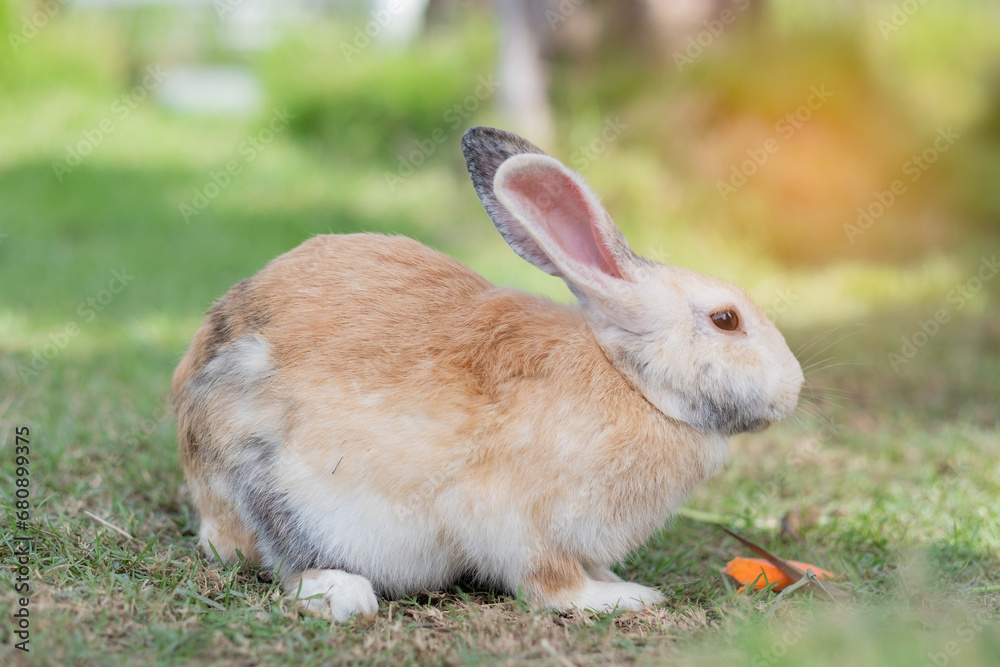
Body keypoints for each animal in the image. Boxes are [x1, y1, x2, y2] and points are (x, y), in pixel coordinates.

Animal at [171, 126, 804, 623]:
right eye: (726, 319)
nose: (794, 389)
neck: (631, 382)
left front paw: (619, 584)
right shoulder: (517, 521)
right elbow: (549, 583)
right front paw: (622, 600)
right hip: (267, 479)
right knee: (283, 561)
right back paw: (345, 595)